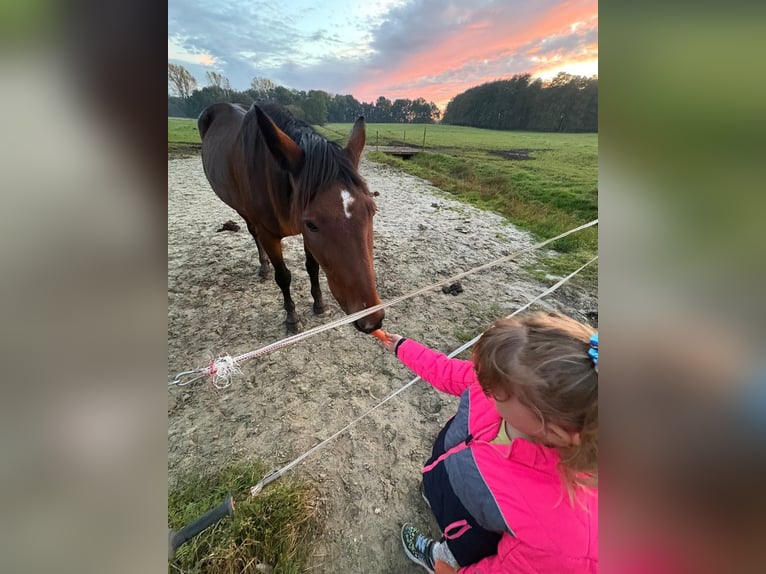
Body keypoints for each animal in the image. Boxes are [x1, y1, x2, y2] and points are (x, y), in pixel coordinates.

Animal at [198, 103, 384, 336]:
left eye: (372, 211)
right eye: (312, 224)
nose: (372, 319)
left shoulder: (306, 238)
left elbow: (312, 268)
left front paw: (319, 305)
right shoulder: (271, 235)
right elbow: (284, 276)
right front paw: (292, 318)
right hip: (243, 210)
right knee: (253, 232)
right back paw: (264, 267)